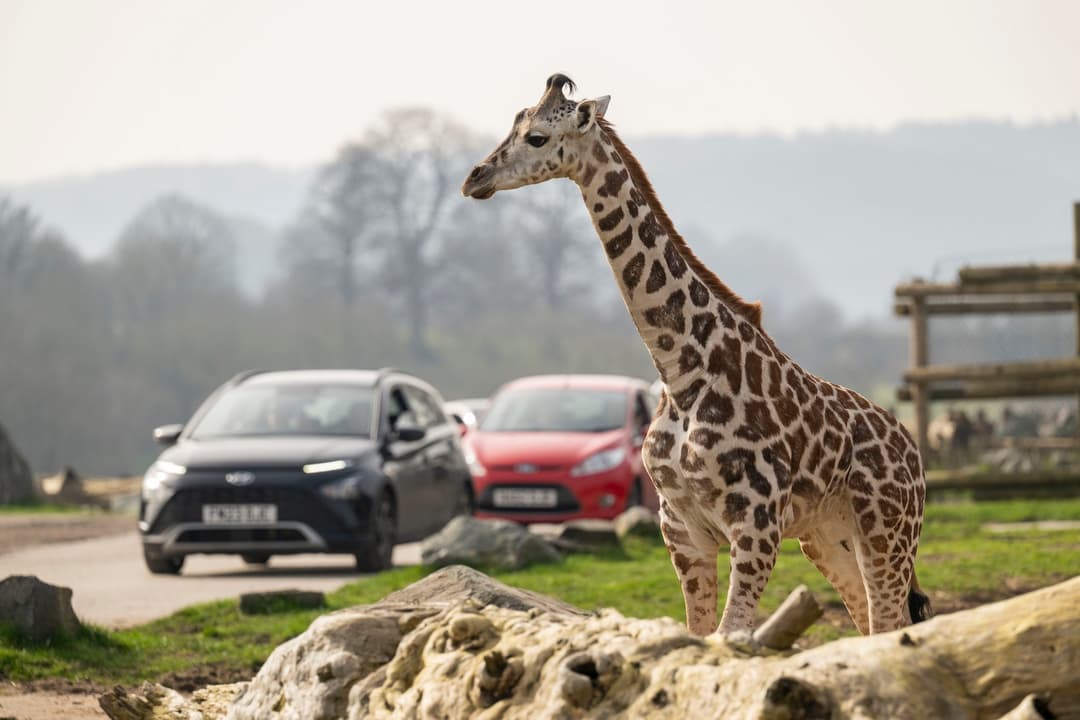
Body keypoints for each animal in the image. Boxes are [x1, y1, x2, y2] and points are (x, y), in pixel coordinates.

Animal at [461, 74, 931, 638]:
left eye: (536, 137)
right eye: (514, 123)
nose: (474, 178)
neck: (680, 370)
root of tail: (912, 450)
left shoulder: (755, 525)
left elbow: (731, 636)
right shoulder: (681, 529)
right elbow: (696, 634)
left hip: (887, 532)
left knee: (891, 623)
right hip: (827, 537)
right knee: (870, 626)